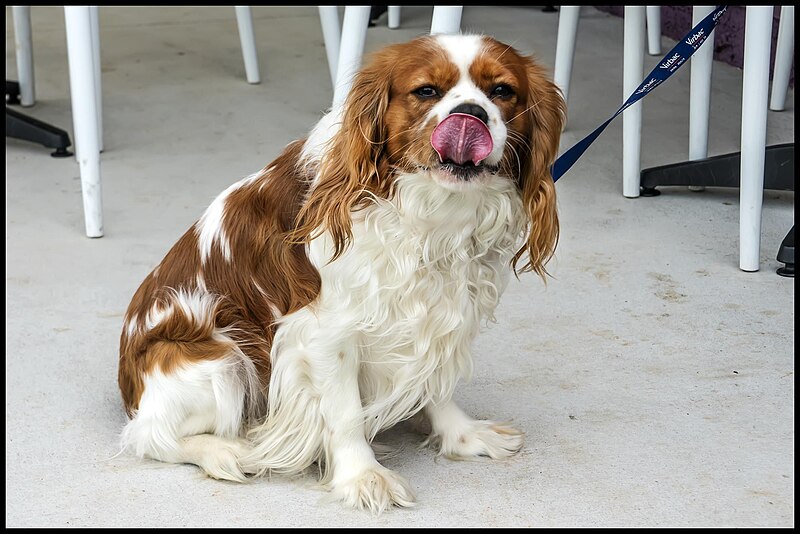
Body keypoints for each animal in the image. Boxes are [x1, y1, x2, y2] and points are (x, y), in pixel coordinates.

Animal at [120, 32, 564, 516]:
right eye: (427, 91)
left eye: (501, 91)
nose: (471, 114)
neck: (427, 210)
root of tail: (129, 390)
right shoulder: (326, 331)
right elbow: (345, 412)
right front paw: (363, 476)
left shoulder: (437, 312)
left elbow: (436, 380)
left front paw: (461, 435)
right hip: (213, 359)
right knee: (150, 436)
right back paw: (228, 451)